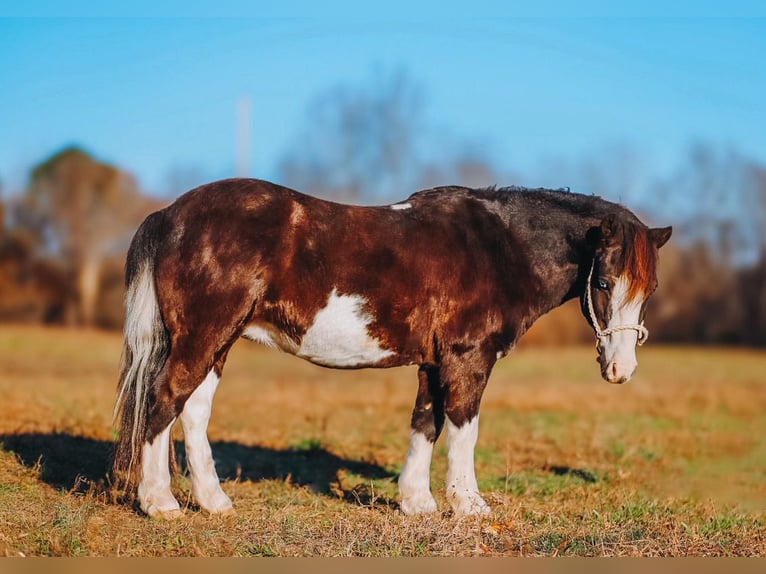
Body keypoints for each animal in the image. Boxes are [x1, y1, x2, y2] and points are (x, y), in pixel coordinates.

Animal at [112, 178, 671, 518]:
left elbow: (426, 424)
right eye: (603, 282)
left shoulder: (432, 363)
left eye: (649, 290)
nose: (621, 369)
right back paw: (159, 502)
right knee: (163, 402)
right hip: (202, 337)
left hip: (219, 342)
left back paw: (213, 501)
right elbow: (464, 428)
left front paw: (416, 502)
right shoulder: (468, 359)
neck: (499, 247)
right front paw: (469, 506)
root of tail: (170, 213)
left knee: (193, 413)